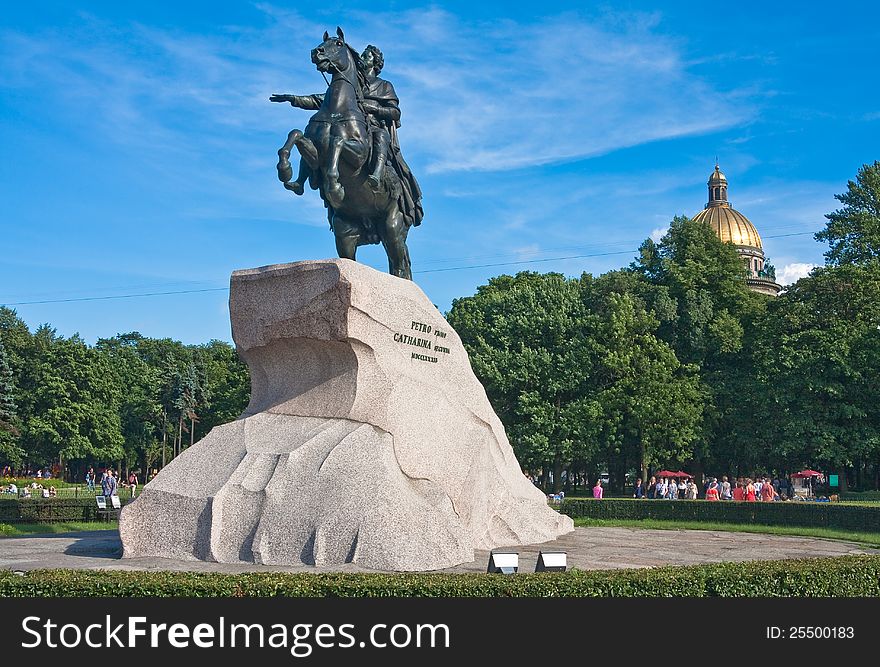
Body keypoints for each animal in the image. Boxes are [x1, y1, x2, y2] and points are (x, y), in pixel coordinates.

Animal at [276, 28, 412, 280]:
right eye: (323, 42)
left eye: (338, 43)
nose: (316, 52)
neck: (336, 110)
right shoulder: (315, 153)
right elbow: (296, 135)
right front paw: (285, 171)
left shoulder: (358, 156)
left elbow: (337, 142)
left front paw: (335, 187)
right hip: (345, 233)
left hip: (393, 229)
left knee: (400, 267)